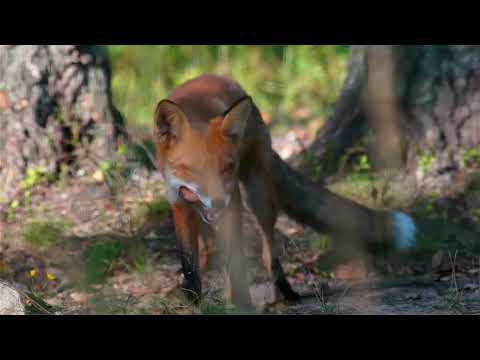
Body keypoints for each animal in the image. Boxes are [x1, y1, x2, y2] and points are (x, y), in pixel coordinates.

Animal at [155, 74, 416, 308]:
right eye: (193, 170)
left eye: (227, 167)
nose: (218, 202)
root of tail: (221, 78)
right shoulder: (178, 202)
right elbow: (189, 262)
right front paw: (193, 300)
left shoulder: (233, 202)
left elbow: (235, 259)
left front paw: (241, 303)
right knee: (210, 246)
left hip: (257, 195)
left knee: (268, 251)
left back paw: (284, 292)